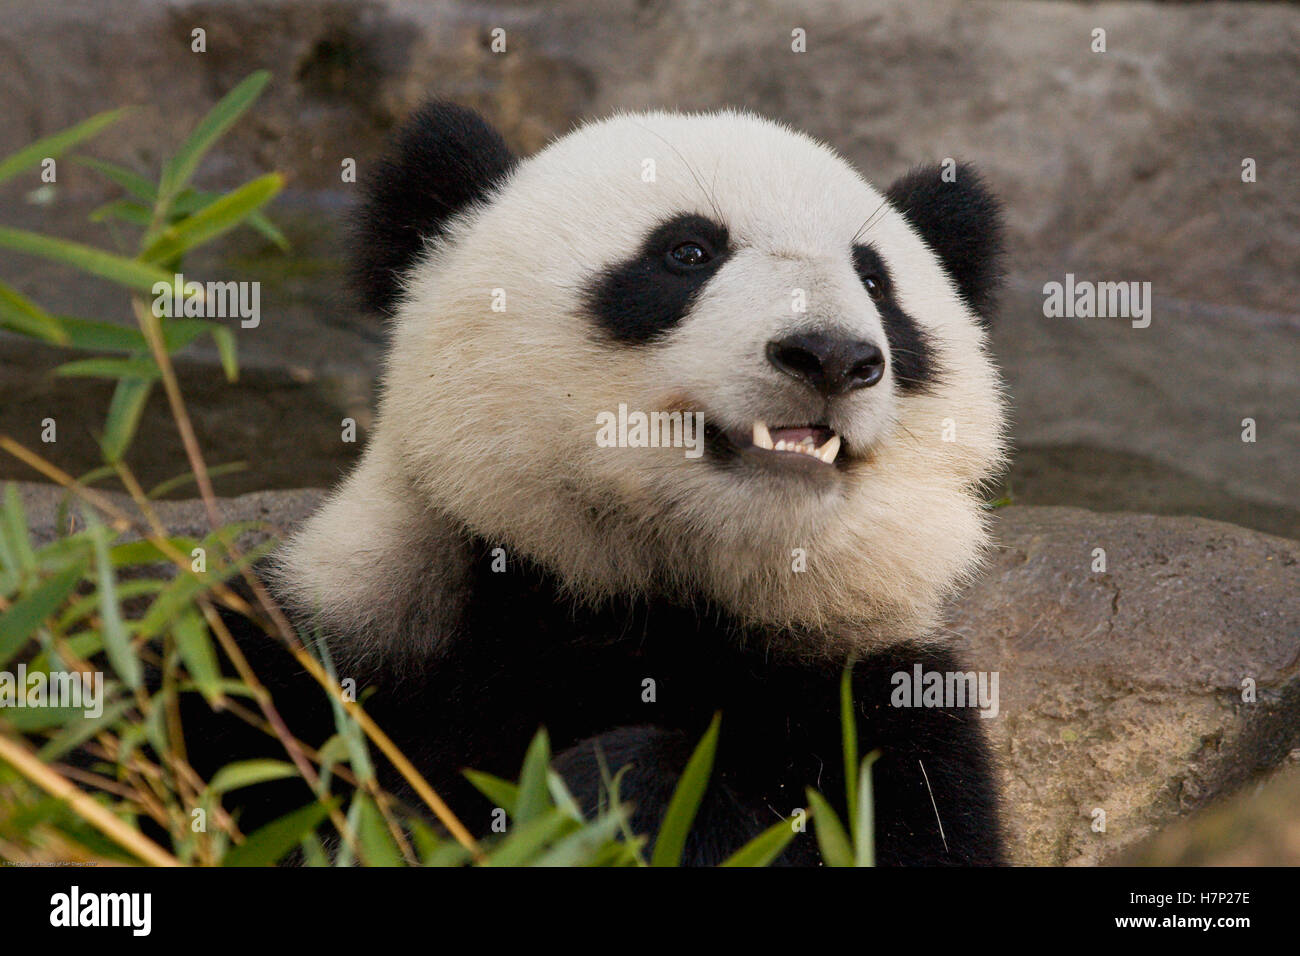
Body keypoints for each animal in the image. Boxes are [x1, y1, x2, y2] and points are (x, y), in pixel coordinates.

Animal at [200, 103, 1009, 866]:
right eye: (687, 252)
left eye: (876, 281)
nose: (830, 355)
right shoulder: (333, 646)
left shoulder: (873, 701)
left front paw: (621, 795)